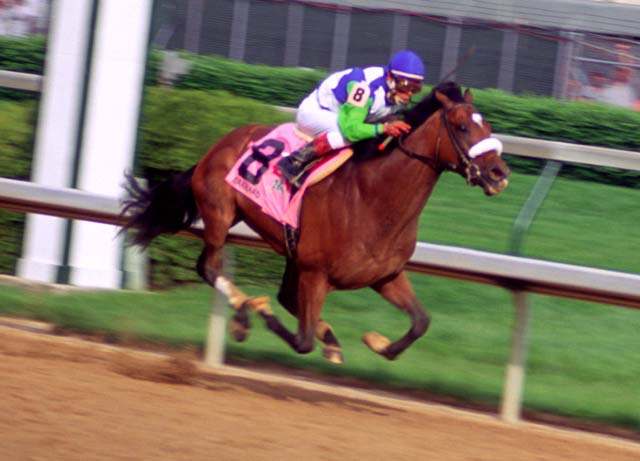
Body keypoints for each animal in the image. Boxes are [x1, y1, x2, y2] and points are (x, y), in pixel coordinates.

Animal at [120, 82, 510, 362]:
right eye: (462, 126)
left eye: (489, 125)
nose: (499, 174)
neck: (373, 199)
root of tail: (218, 145)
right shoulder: (315, 272)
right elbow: (302, 339)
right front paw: (261, 312)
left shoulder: (385, 275)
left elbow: (421, 322)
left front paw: (376, 341)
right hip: (220, 213)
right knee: (209, 267)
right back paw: (244, 311)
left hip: (289, 252)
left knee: (280, 294)